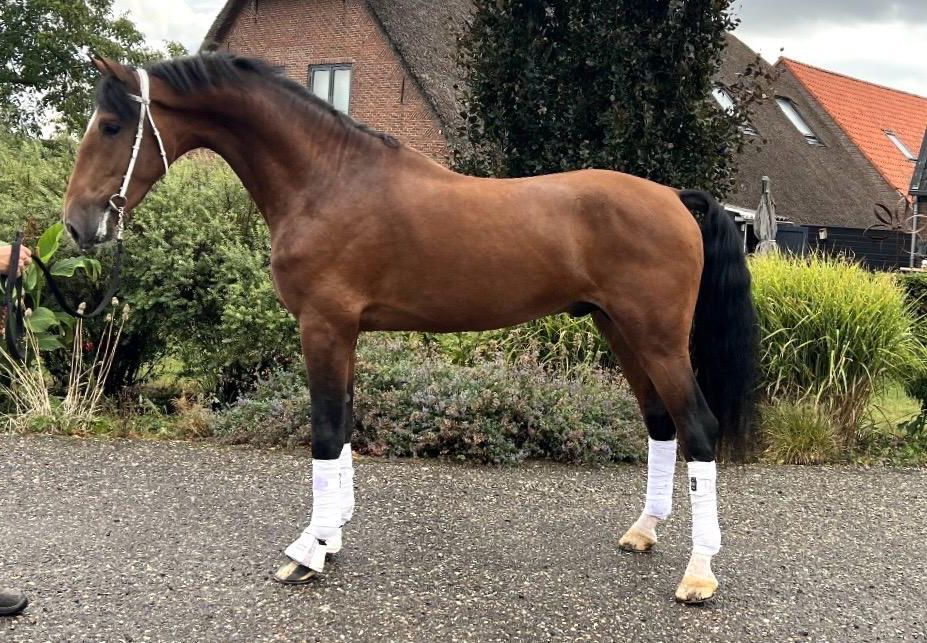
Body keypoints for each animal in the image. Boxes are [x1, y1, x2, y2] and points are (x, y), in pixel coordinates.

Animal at [63, 53, 757, 605]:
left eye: (112, 126)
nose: (76, 224)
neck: (327, 181)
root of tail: (675, 198)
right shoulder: (343, 332)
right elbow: (343, 429)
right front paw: (330, 537)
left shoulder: (324, 326)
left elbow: (324, 433)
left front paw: (307, 554)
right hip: (621, 331)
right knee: (661, 424)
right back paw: (644, 532)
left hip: (658, 338)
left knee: (698, 429)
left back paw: (698, 574)